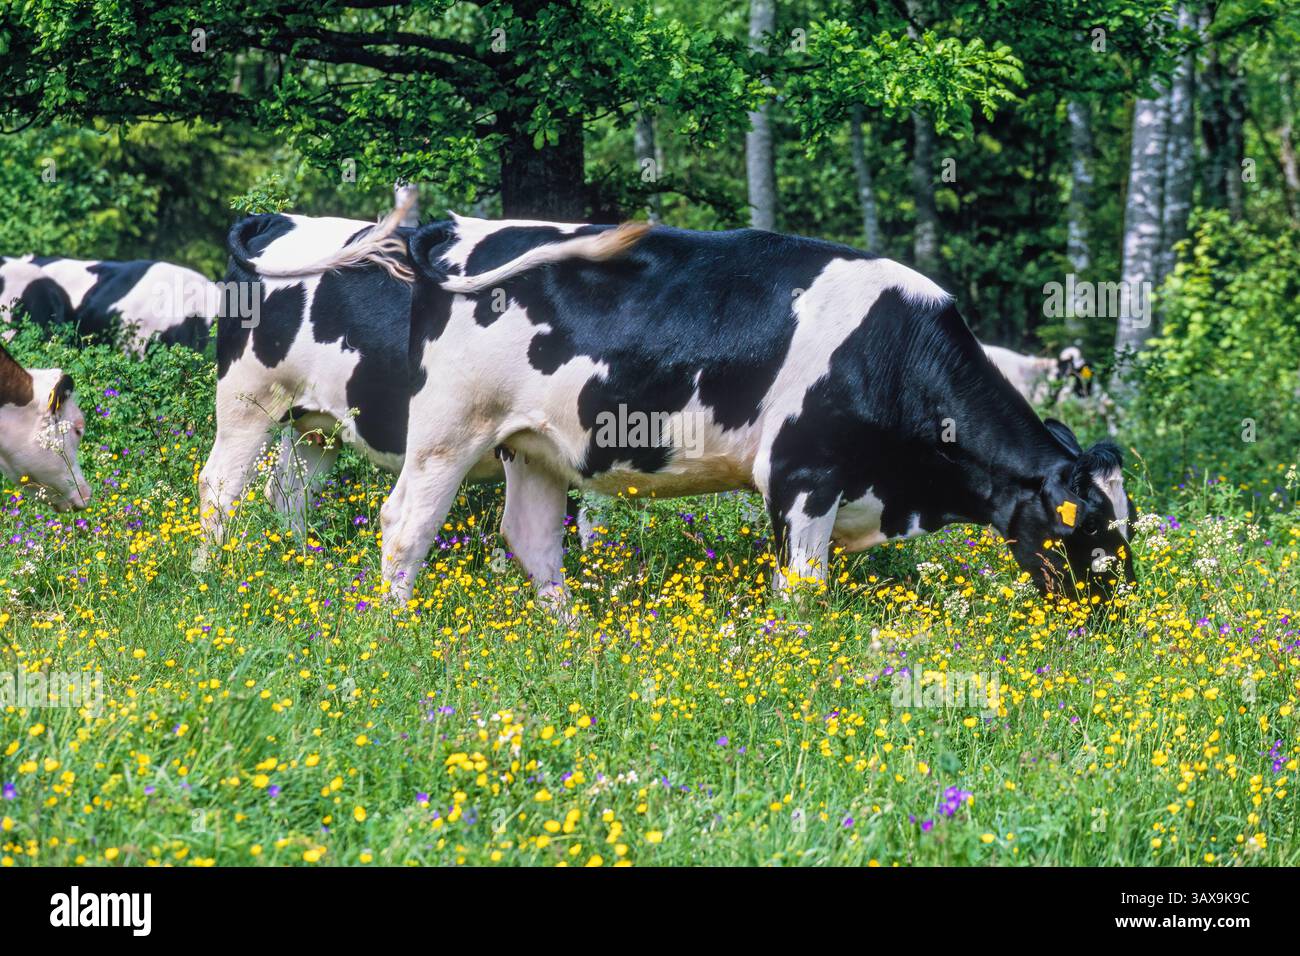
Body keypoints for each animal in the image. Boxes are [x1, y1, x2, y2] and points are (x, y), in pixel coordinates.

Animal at [372, 215, 1134, 607]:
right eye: (1090, 526)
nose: (1121, 614)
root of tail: (460, 225)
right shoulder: (802, 476)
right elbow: (801, 593)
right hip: (448, 432)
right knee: (406, 525)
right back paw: (395, 630)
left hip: (532, 445)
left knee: (532, 540)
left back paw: (572, 637)